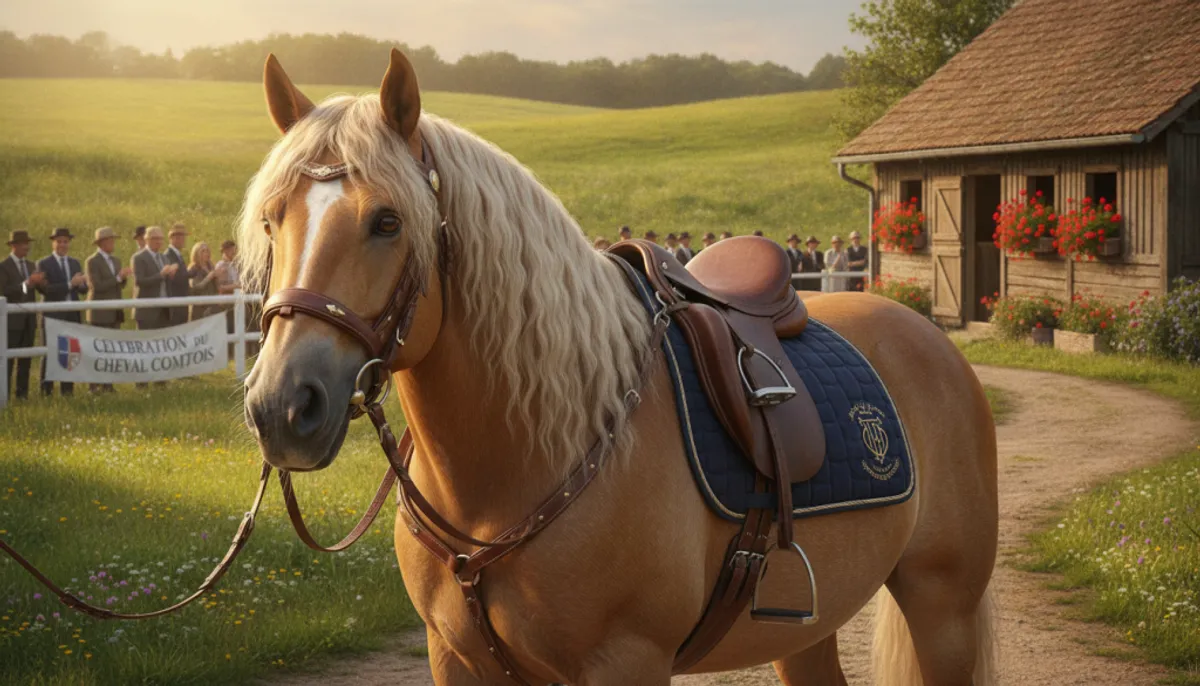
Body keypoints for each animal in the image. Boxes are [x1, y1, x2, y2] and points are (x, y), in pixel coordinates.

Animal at [240, 49, 998, 686]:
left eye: (388, 221)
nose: (282, 405)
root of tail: (924, 333)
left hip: (944, 606)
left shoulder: (625, 660)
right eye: (273, 220)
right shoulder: (456, 659)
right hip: (807, 629)